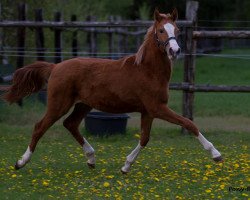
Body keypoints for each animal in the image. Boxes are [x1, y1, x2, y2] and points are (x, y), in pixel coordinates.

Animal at [2, 9, 222, 173]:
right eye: (160, 30)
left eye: (176, 29)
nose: (174, 51)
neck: (148, 70)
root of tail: (55, 67)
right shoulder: (157, 108)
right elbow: (189, 123)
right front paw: (215, 154)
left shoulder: (148, 111)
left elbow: (145, 138)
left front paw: (126, 166)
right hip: (59, 104)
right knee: (40, 126)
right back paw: (21, 162)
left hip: (83, 105)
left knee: (70, 124)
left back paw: (91, 159)